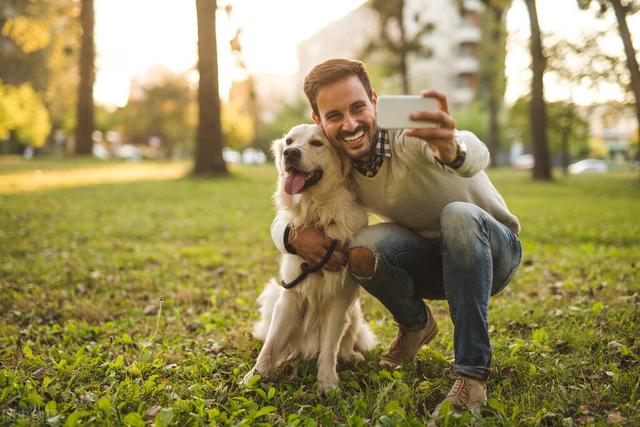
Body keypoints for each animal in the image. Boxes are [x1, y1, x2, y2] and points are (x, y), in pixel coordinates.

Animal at [242, 123, 378, 394]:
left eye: (317, 143)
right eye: (289, 141)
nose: (290, 153)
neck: (317, 211)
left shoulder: (339, 299)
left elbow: (329, 347)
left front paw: (327, 382)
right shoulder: (290, 295)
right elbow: (271, 344)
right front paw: (255, 376)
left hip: (354, 312)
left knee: (347, 341)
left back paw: (351, 355)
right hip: (273, 294)